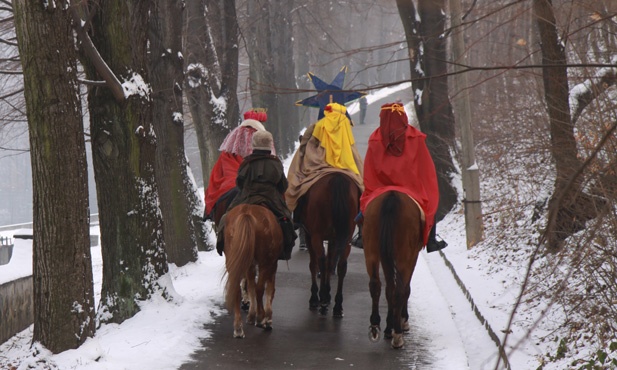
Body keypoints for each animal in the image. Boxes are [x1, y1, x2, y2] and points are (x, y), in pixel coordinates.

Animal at [221, 204, 282, 336]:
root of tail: (247, 212)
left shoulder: (249, 264)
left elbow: (250, 286)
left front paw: (251, 315)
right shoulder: (272, 263)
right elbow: (269, 289)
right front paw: (267, 319)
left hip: (233, 257)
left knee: (237, 287)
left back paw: (238, 328)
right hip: (265, 262)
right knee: (260, 288)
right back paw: (260, 318)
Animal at [294, 172, 360, 316]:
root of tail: (337, 178)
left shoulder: (310, 235)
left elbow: (314, 265)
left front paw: (316, 297)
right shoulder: (333, 238)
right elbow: (331, 262)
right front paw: (328, 295)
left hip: (316, 236)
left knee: (321, 262)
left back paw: (321, 300)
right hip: (346, 237)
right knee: (341, 266)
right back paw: (338, 306)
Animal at [360, 191, 424, 350]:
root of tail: (392, 196)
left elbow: (389, 289)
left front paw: (389, 328)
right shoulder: (413, 255)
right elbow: (405, 288)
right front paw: (402, 320)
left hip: (372, 249)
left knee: (376, 284)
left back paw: (375, 325)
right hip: (405, 255)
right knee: (400, 290)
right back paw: (398, 336)